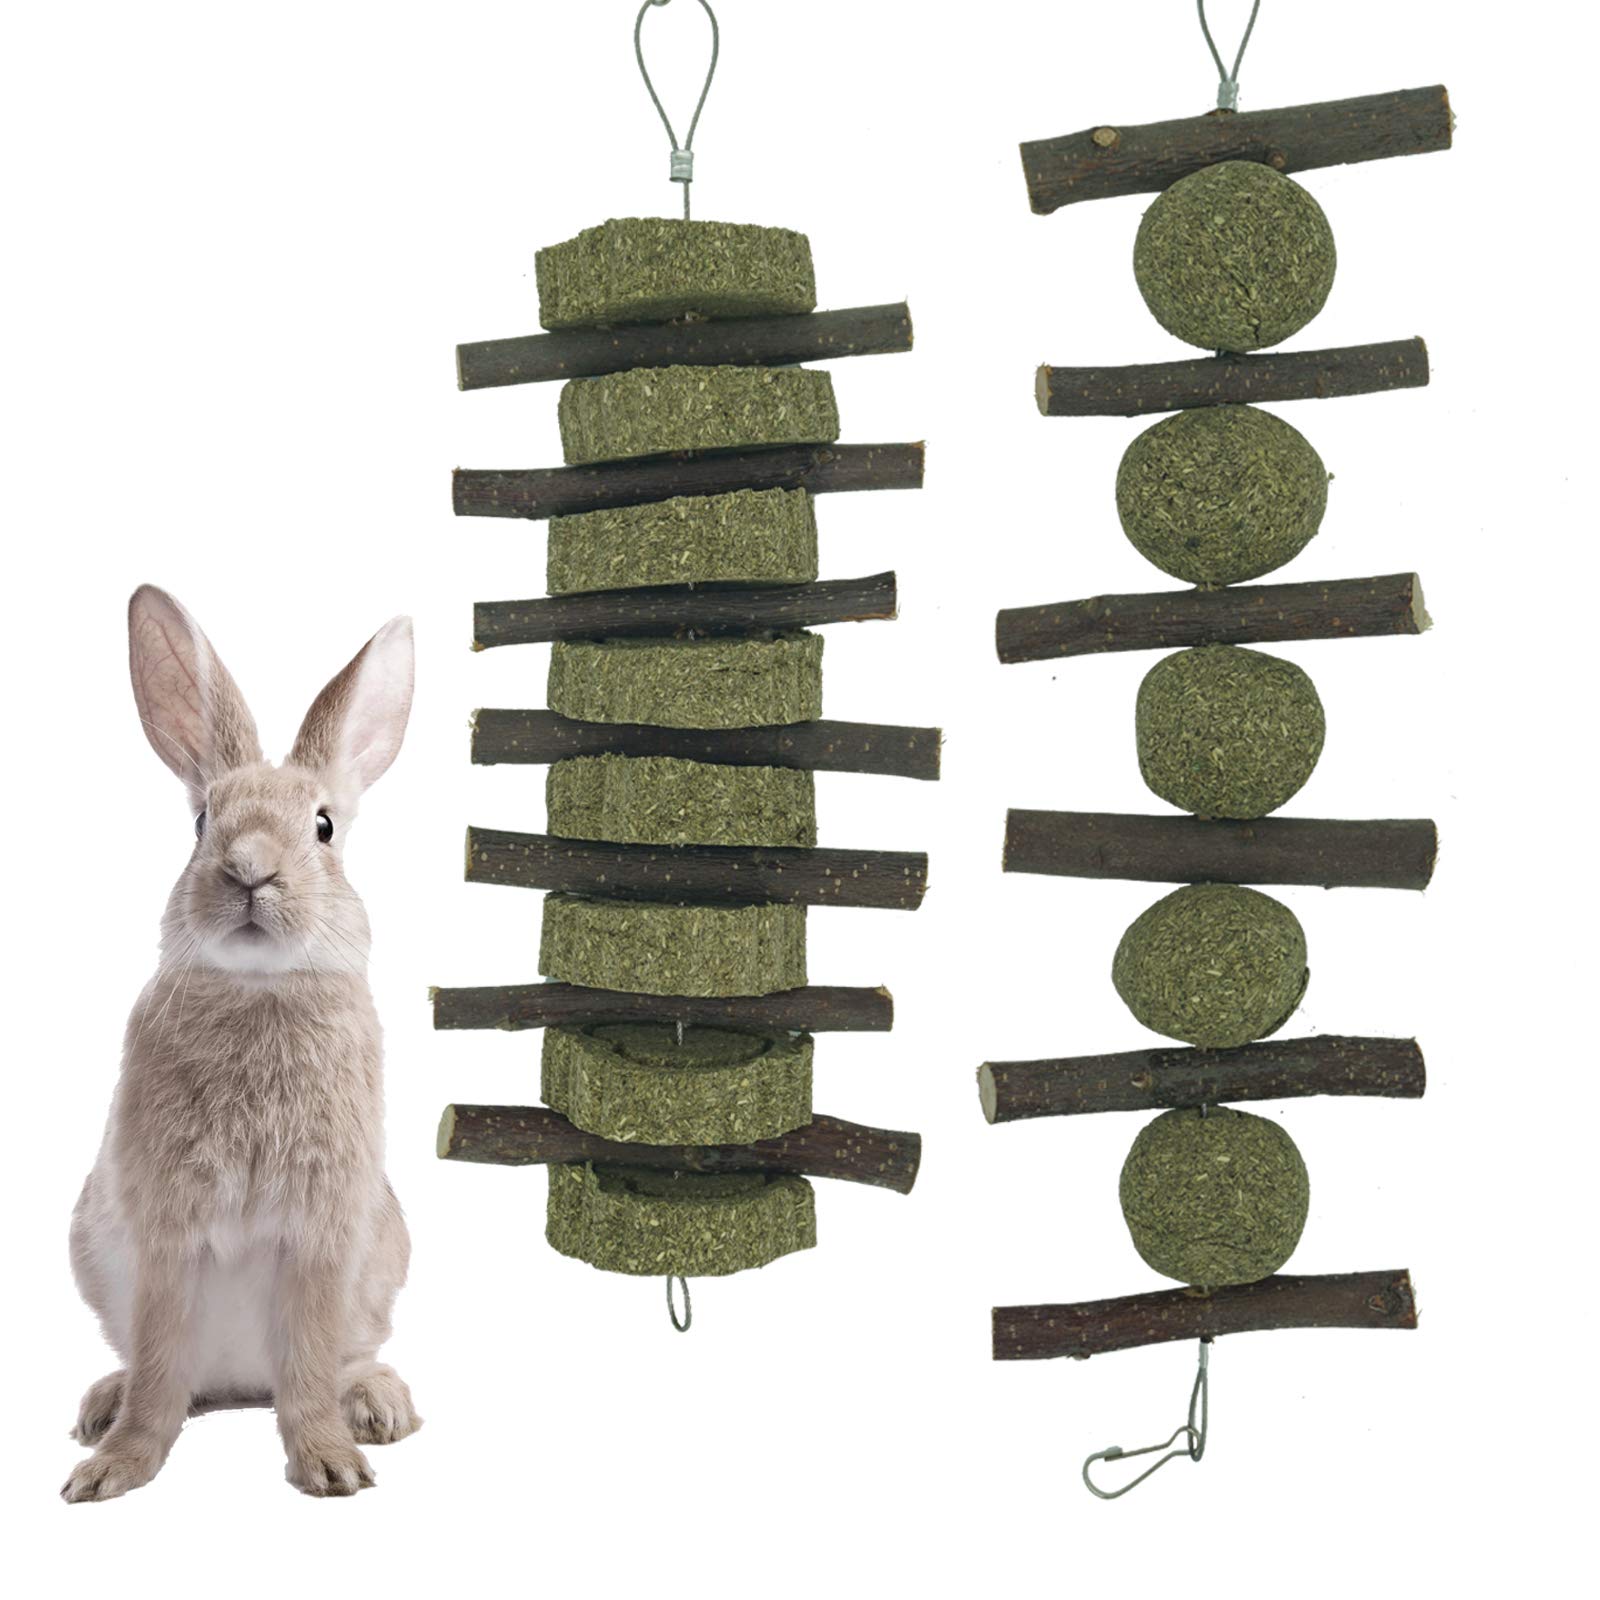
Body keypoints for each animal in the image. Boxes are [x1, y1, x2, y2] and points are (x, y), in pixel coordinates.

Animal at [63, 585, 420, 1501]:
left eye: (324, 826)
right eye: (200, 824)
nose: (251, 868)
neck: (259, 990)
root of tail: (237, 1380)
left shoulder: (325, 1231)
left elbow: (309, 1366)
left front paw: (332, 1464)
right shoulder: (165, 1232)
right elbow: (159, 1370)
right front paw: (112, 1471)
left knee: (339, 1360)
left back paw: (379, 1405)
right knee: (164, 1375)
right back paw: (102, 1406)